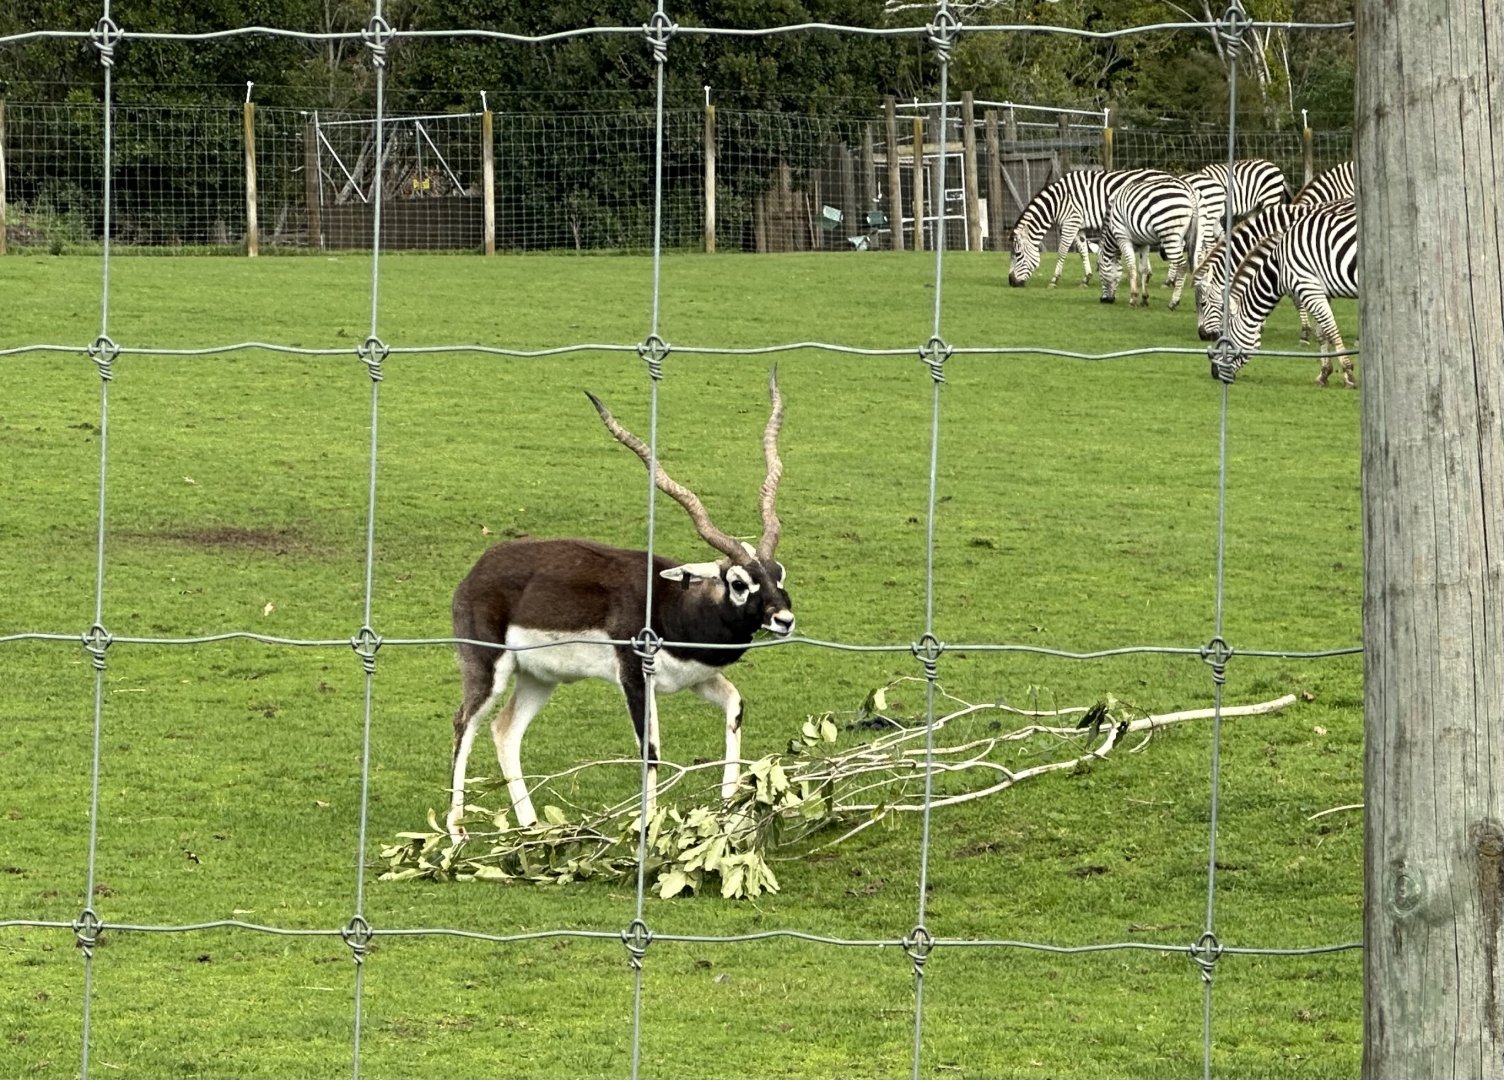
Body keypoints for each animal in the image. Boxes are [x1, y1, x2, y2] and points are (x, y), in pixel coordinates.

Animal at [446, 370, 794, 840]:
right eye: (739, 583)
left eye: (778, 573)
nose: (784, 618)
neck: (675, 607)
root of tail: (478, 570)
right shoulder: (634, 676)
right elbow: (651, 750)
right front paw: (649, 832)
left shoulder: (697, 678)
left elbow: (736, 708)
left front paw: (728, 815)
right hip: (488, 668)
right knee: (464, 724)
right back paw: (455, 833)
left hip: (540, 677)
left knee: (504, 731)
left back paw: (534, 828)